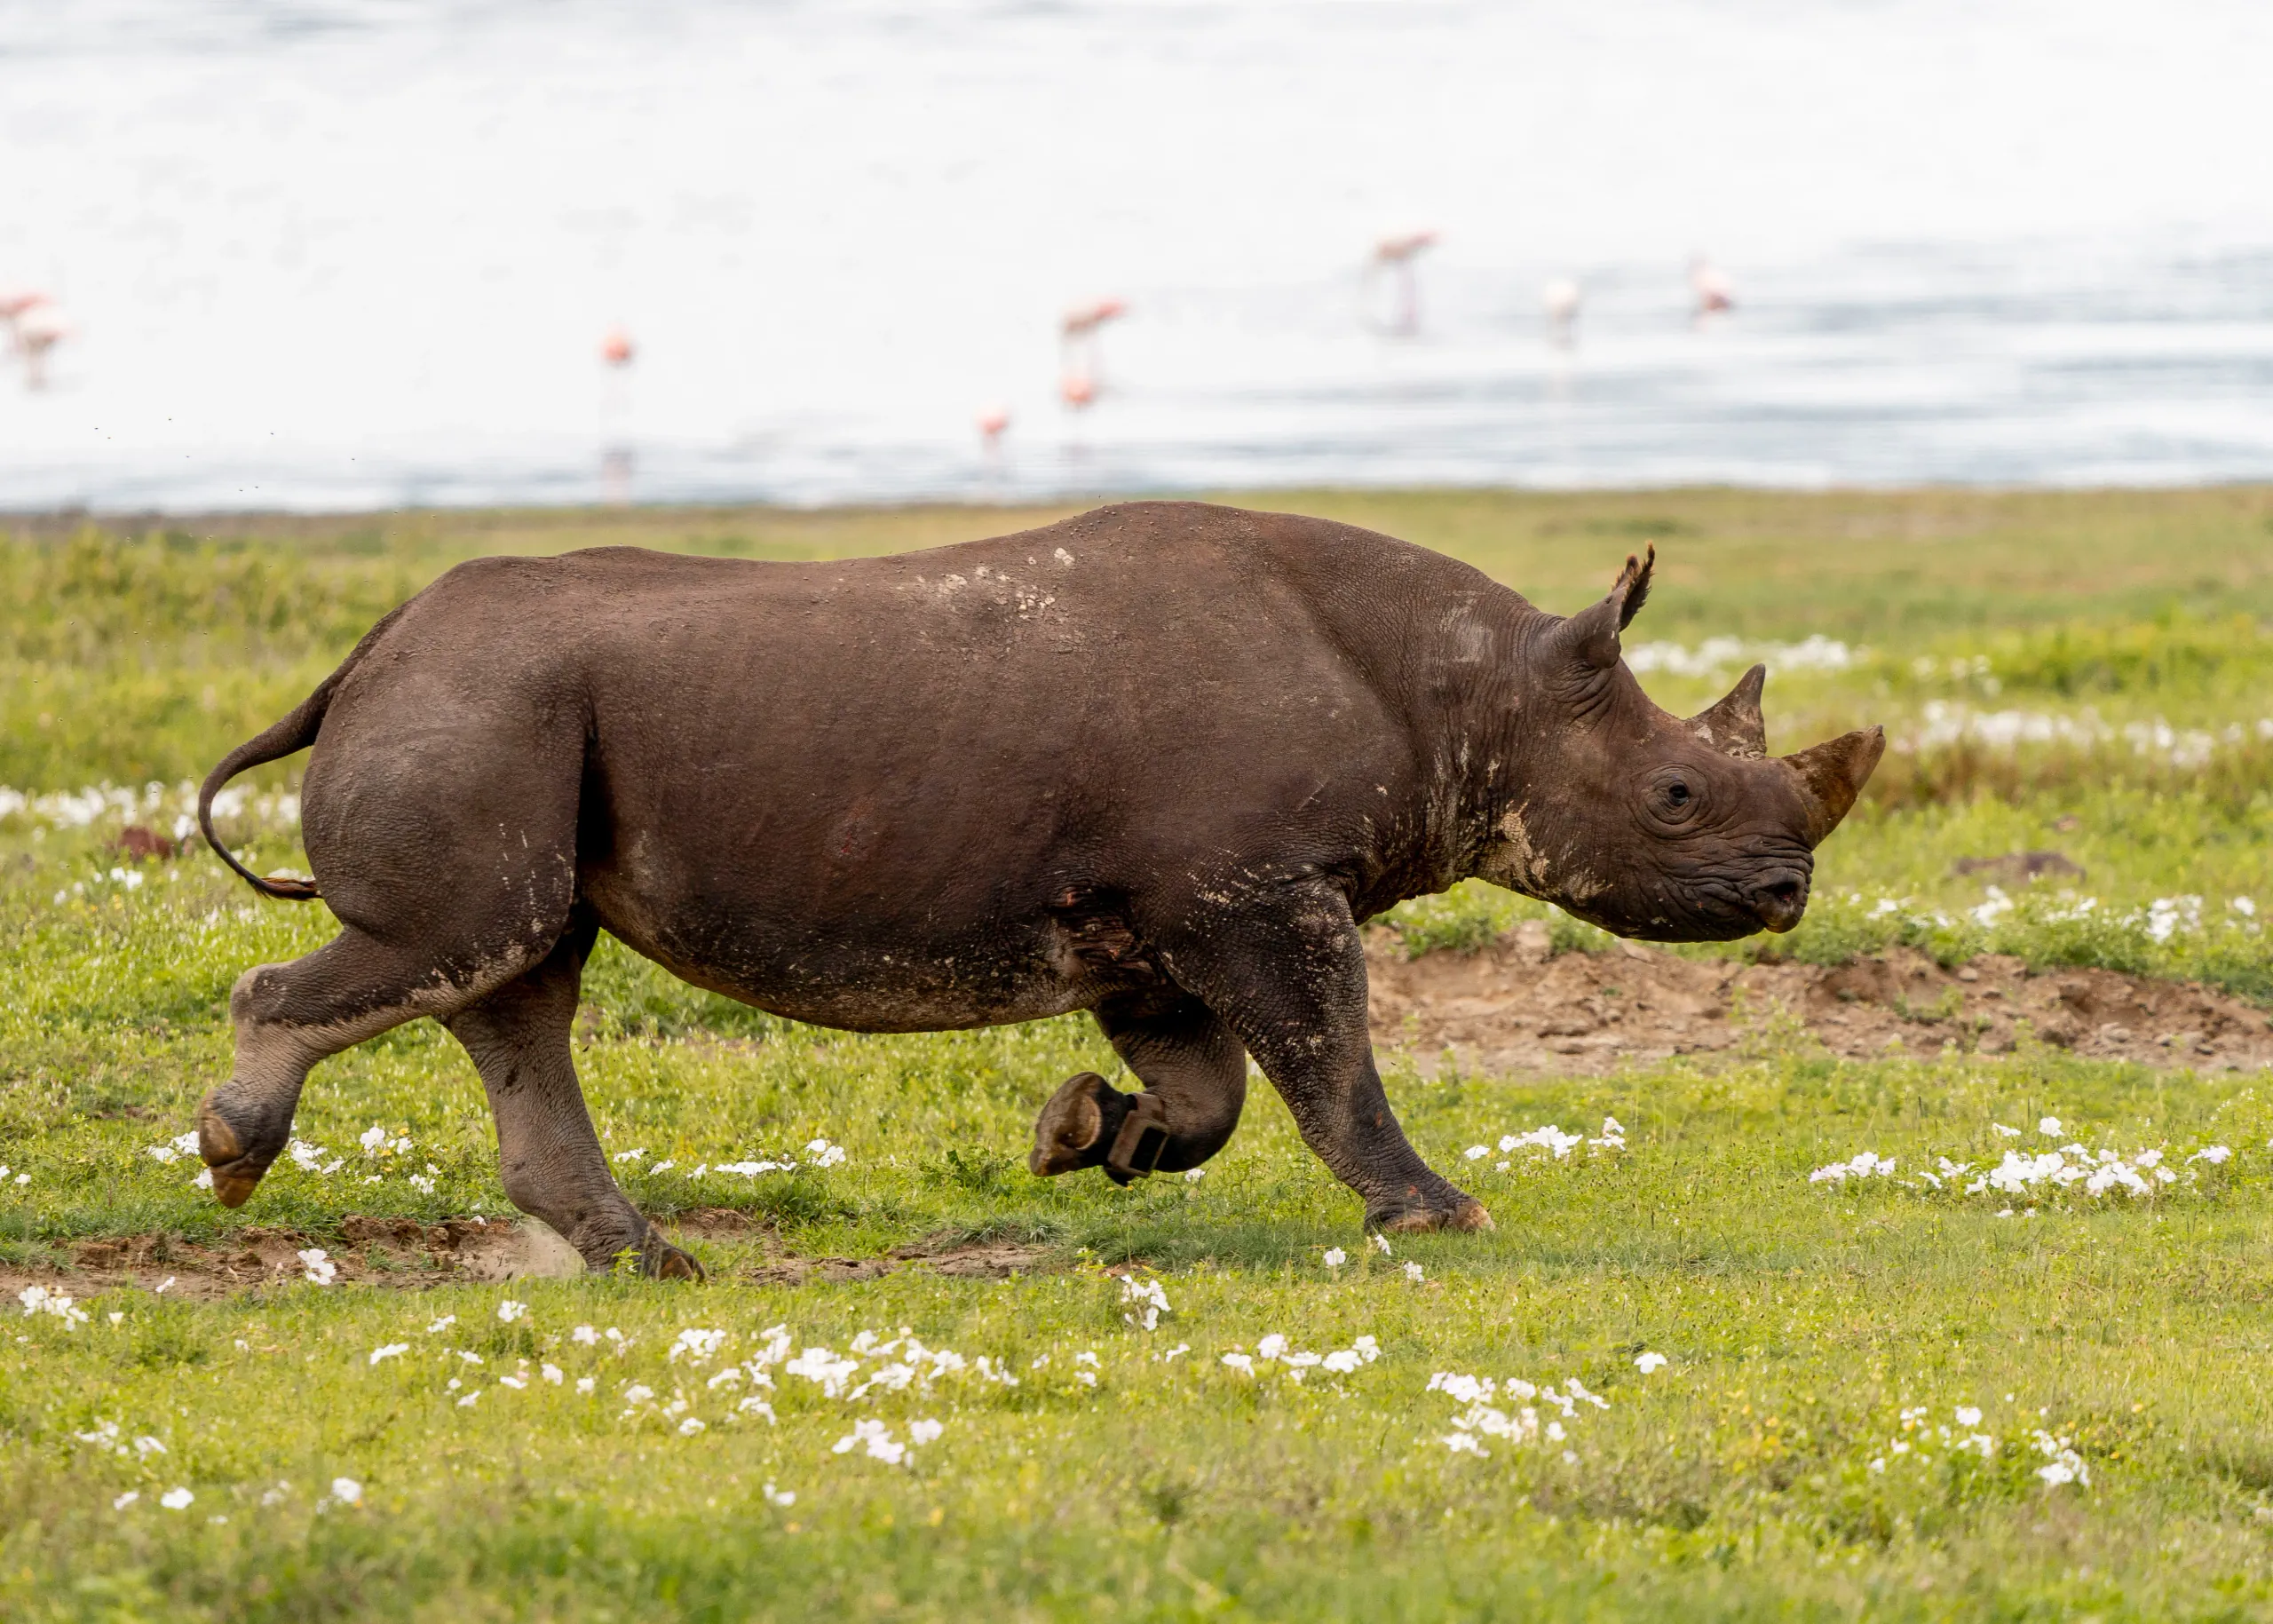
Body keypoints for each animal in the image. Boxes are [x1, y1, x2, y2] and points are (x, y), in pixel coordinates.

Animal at [195, 502, 1881, 1275]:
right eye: (1675, 797)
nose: (1786, 890)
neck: (1479, 688)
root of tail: (368, 650)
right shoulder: (1256, 887)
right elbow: (1330, 1060)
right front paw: (1441, 1213)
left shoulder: (1169, 911)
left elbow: (1216, 1092)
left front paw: (1085, 1135)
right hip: (483, 704)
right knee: (469, 944)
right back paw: (232, 1152)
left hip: (504, 708)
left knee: (518, 975)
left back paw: (647, 1261)